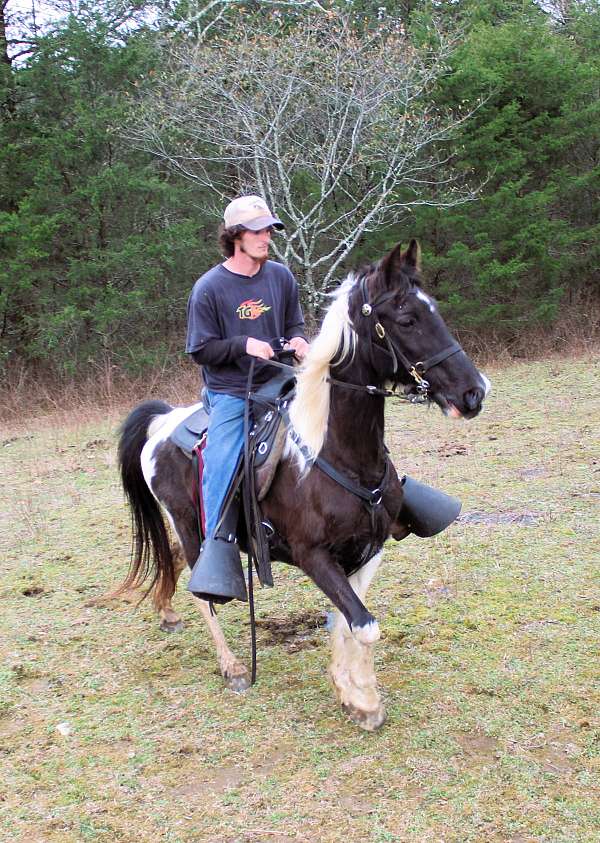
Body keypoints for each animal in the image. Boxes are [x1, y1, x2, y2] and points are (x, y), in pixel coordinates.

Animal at [115, 241, 490, 728]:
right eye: (407, 319)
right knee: (202, 586)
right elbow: (364, 626)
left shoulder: (368, 550)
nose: (474, 392)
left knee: (175, 558)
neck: (332, 454)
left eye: (435, 310)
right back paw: (232, 665)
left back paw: (166, 611)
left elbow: (349, 621)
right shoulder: (314, 557)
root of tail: (163, 422)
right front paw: (363, 698)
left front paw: (350, 689)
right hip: (190, 524)